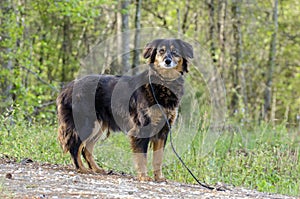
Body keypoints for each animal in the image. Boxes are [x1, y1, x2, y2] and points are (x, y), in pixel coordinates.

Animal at [56, 38, 193, 181]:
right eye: (161, 51)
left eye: (175, 52)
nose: (167, 61)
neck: (162, 84)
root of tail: (67, 88)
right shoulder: (142, 128)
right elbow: (142, 157)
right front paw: (144, 176)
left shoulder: (163, 130)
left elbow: (158, 158)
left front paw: (159, 177)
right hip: (86, 124)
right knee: (75, 146)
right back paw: (81, 168)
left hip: (98, 126)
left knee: (86, 148)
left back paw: (96, 169)